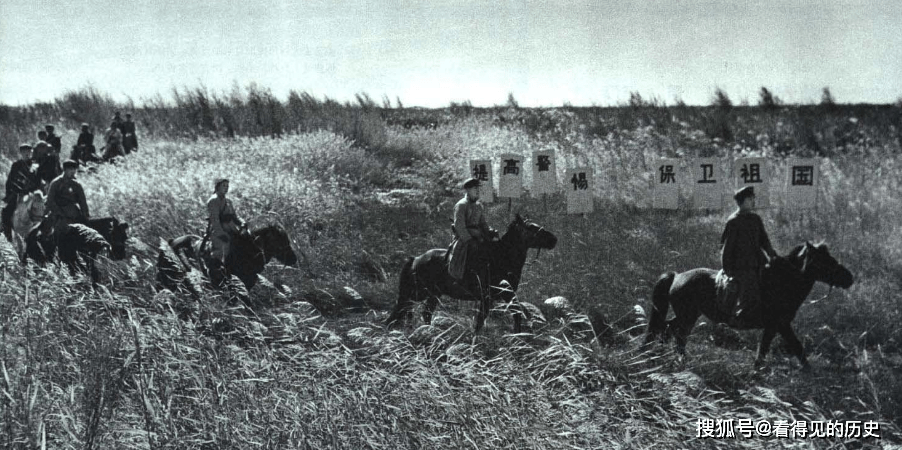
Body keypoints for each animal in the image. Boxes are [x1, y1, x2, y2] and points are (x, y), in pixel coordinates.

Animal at [386, 213, 556, 332]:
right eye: (531, 227)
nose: (553, 239)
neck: (500, 257)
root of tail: (415, 259)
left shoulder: (507, 294)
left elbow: (516, 314)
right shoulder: (488, 297)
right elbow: (481, 320)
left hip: (433, 294)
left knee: (423, 312)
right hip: (418, 292)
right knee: (404, 308)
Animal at [644, 241, 856, 370]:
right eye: (824, 261)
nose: (849, 277)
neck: (781, 282)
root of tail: (676, 275)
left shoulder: (776, 326)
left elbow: (773, 349)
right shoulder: (779, 325)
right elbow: (790, 348)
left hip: (689, 315)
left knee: (668, 328)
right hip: (687, 316)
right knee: (676, 333)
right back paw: (677, 359)